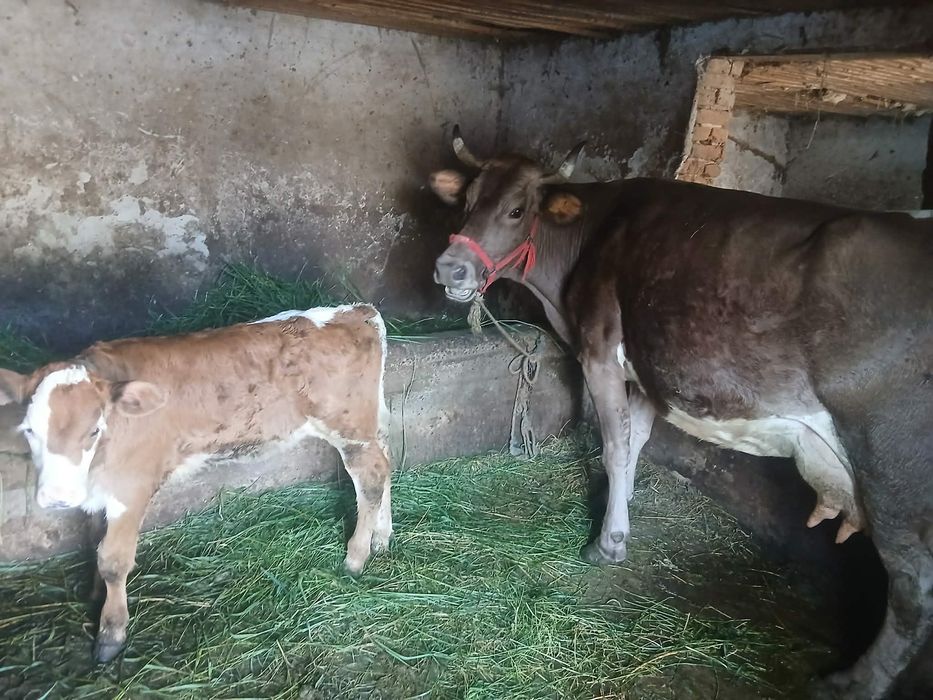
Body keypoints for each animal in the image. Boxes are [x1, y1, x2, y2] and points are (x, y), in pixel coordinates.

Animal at [0, 304, 393, 663]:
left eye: (94, 429)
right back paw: (382, 537)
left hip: (350, 429)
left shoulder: (132, 487)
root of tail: (357, 311)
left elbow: (112, 560)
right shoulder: (99, 492)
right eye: (29, 430)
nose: (57, 498)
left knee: (372, 476)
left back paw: (356, 557)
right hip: (369, 424)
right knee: (386, 460)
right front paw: (96, 595)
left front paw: (111, 634)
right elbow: (96, 540)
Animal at [429, 127, 932, 699]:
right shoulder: (649, 369)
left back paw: (852, 682)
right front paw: (621, 508)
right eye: (467, 201)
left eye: (516, 210)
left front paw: (608, 542)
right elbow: (637, 440)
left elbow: (615, 445)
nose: (449, 268)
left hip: (892, 466)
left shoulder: (599, 350)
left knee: (913, 588)